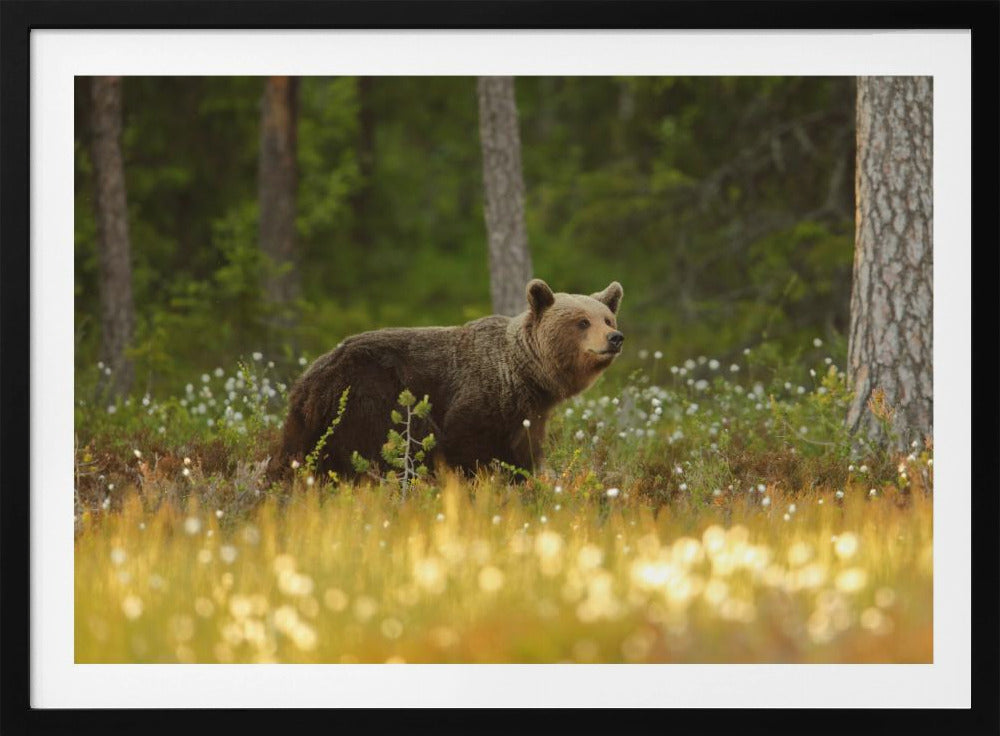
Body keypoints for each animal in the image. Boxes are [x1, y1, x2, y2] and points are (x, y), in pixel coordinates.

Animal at [279, 278, 624, 478]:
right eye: (582, 322)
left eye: (607, 318)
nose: (615, 337)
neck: (524, 375)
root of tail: (310, 377)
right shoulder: (478, 398)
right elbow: (467, 447)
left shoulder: (527, 414)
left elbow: (523, 452)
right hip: (367, 398)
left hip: (309, 421)